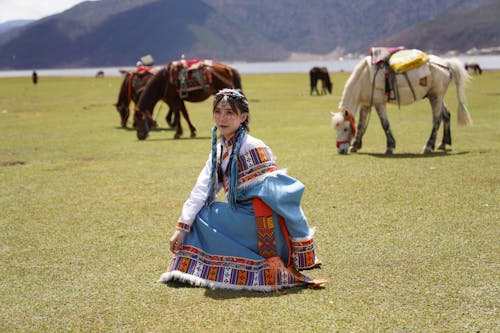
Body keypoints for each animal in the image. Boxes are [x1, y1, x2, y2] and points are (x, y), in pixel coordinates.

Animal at [332, 51, 472, 155]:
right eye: (336, 129)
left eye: (345, 128)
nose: (341, 150)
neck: (364, 78)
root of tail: (446, 64)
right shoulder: (366, 103)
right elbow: (361, 125)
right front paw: (355, 146)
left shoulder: (379, 103)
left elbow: (385, 124)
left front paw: (389, 147)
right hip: (436, 96)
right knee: (446, 115)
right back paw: (443, 143)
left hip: (436, 97)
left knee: (437, 120)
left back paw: (428, 146)